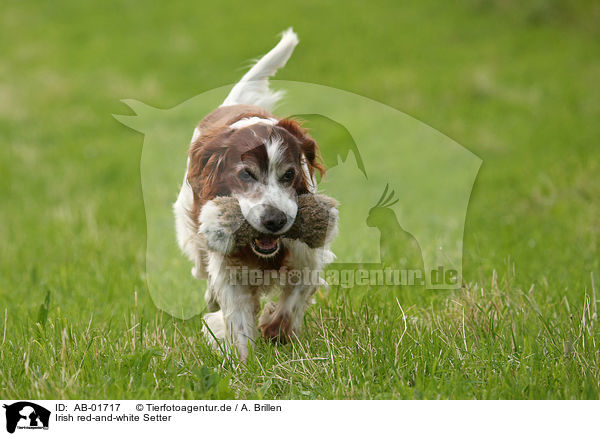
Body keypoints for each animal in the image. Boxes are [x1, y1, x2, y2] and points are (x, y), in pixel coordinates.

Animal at [173, 29, 338, 360]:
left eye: (289, 174)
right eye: (246, 174)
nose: (275, 220)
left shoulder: (306, 257)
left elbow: (292, 302)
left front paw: (273, 328)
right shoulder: (230, 269)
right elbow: (237, 320)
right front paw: (244, 360)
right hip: (191, 232)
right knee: (202, 268)